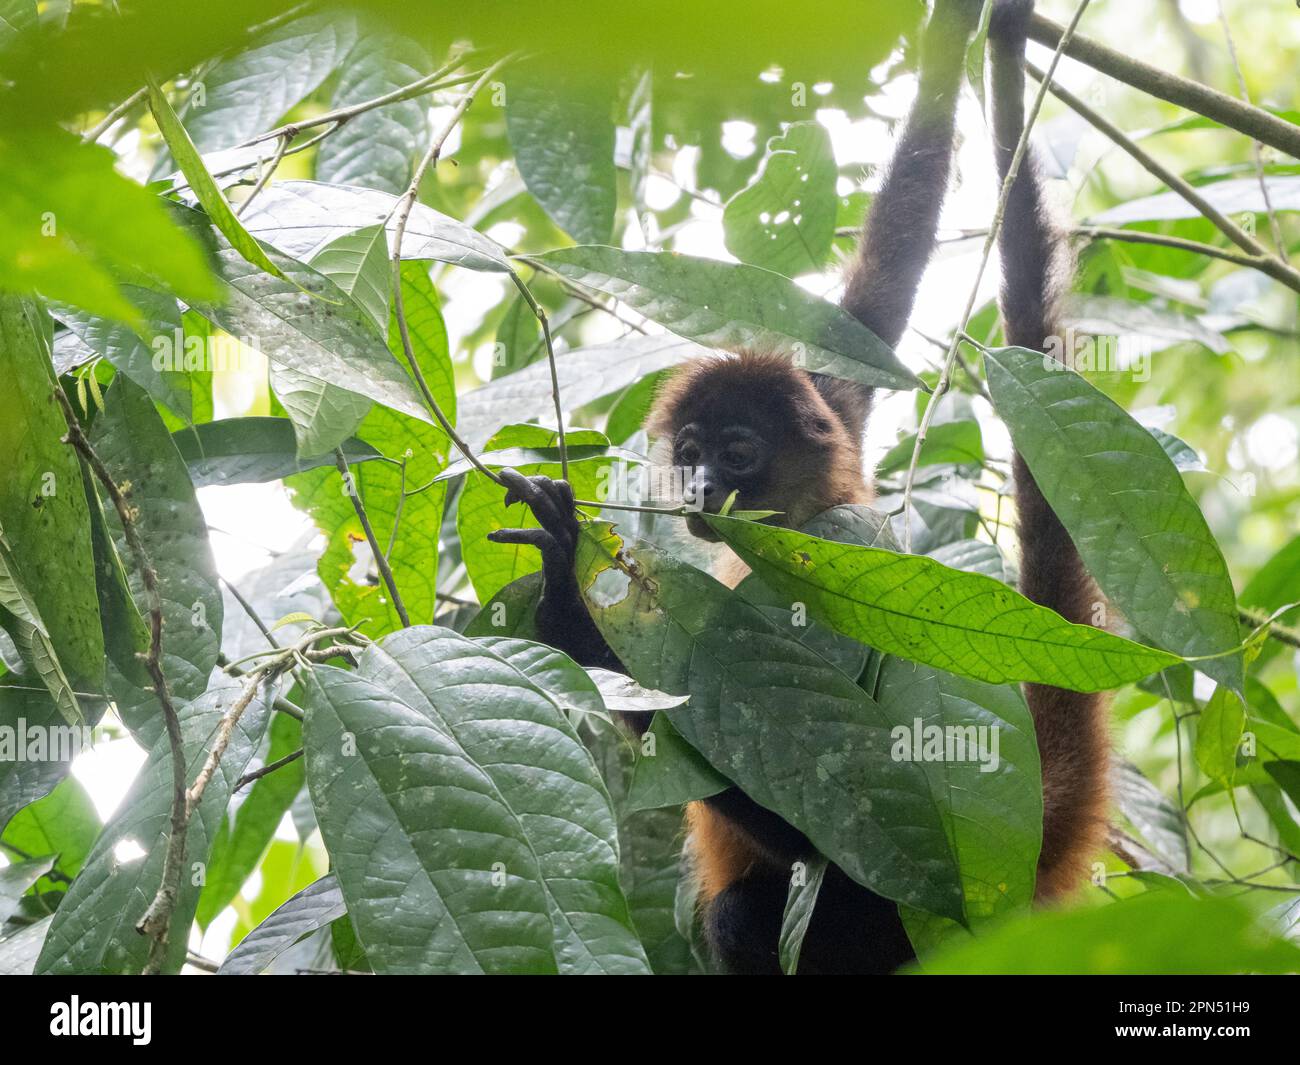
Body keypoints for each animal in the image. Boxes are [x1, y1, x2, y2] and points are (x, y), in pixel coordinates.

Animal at [488, 0, 1107, 972]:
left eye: (737, 452)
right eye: (691, 448)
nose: (702, 488)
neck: (802, 517)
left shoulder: (845, 545)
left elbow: (836, 811)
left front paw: (565, 593)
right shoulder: (834, 401)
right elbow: (878, 291)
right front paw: (956, 35)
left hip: (873, 922)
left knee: (750, 910)